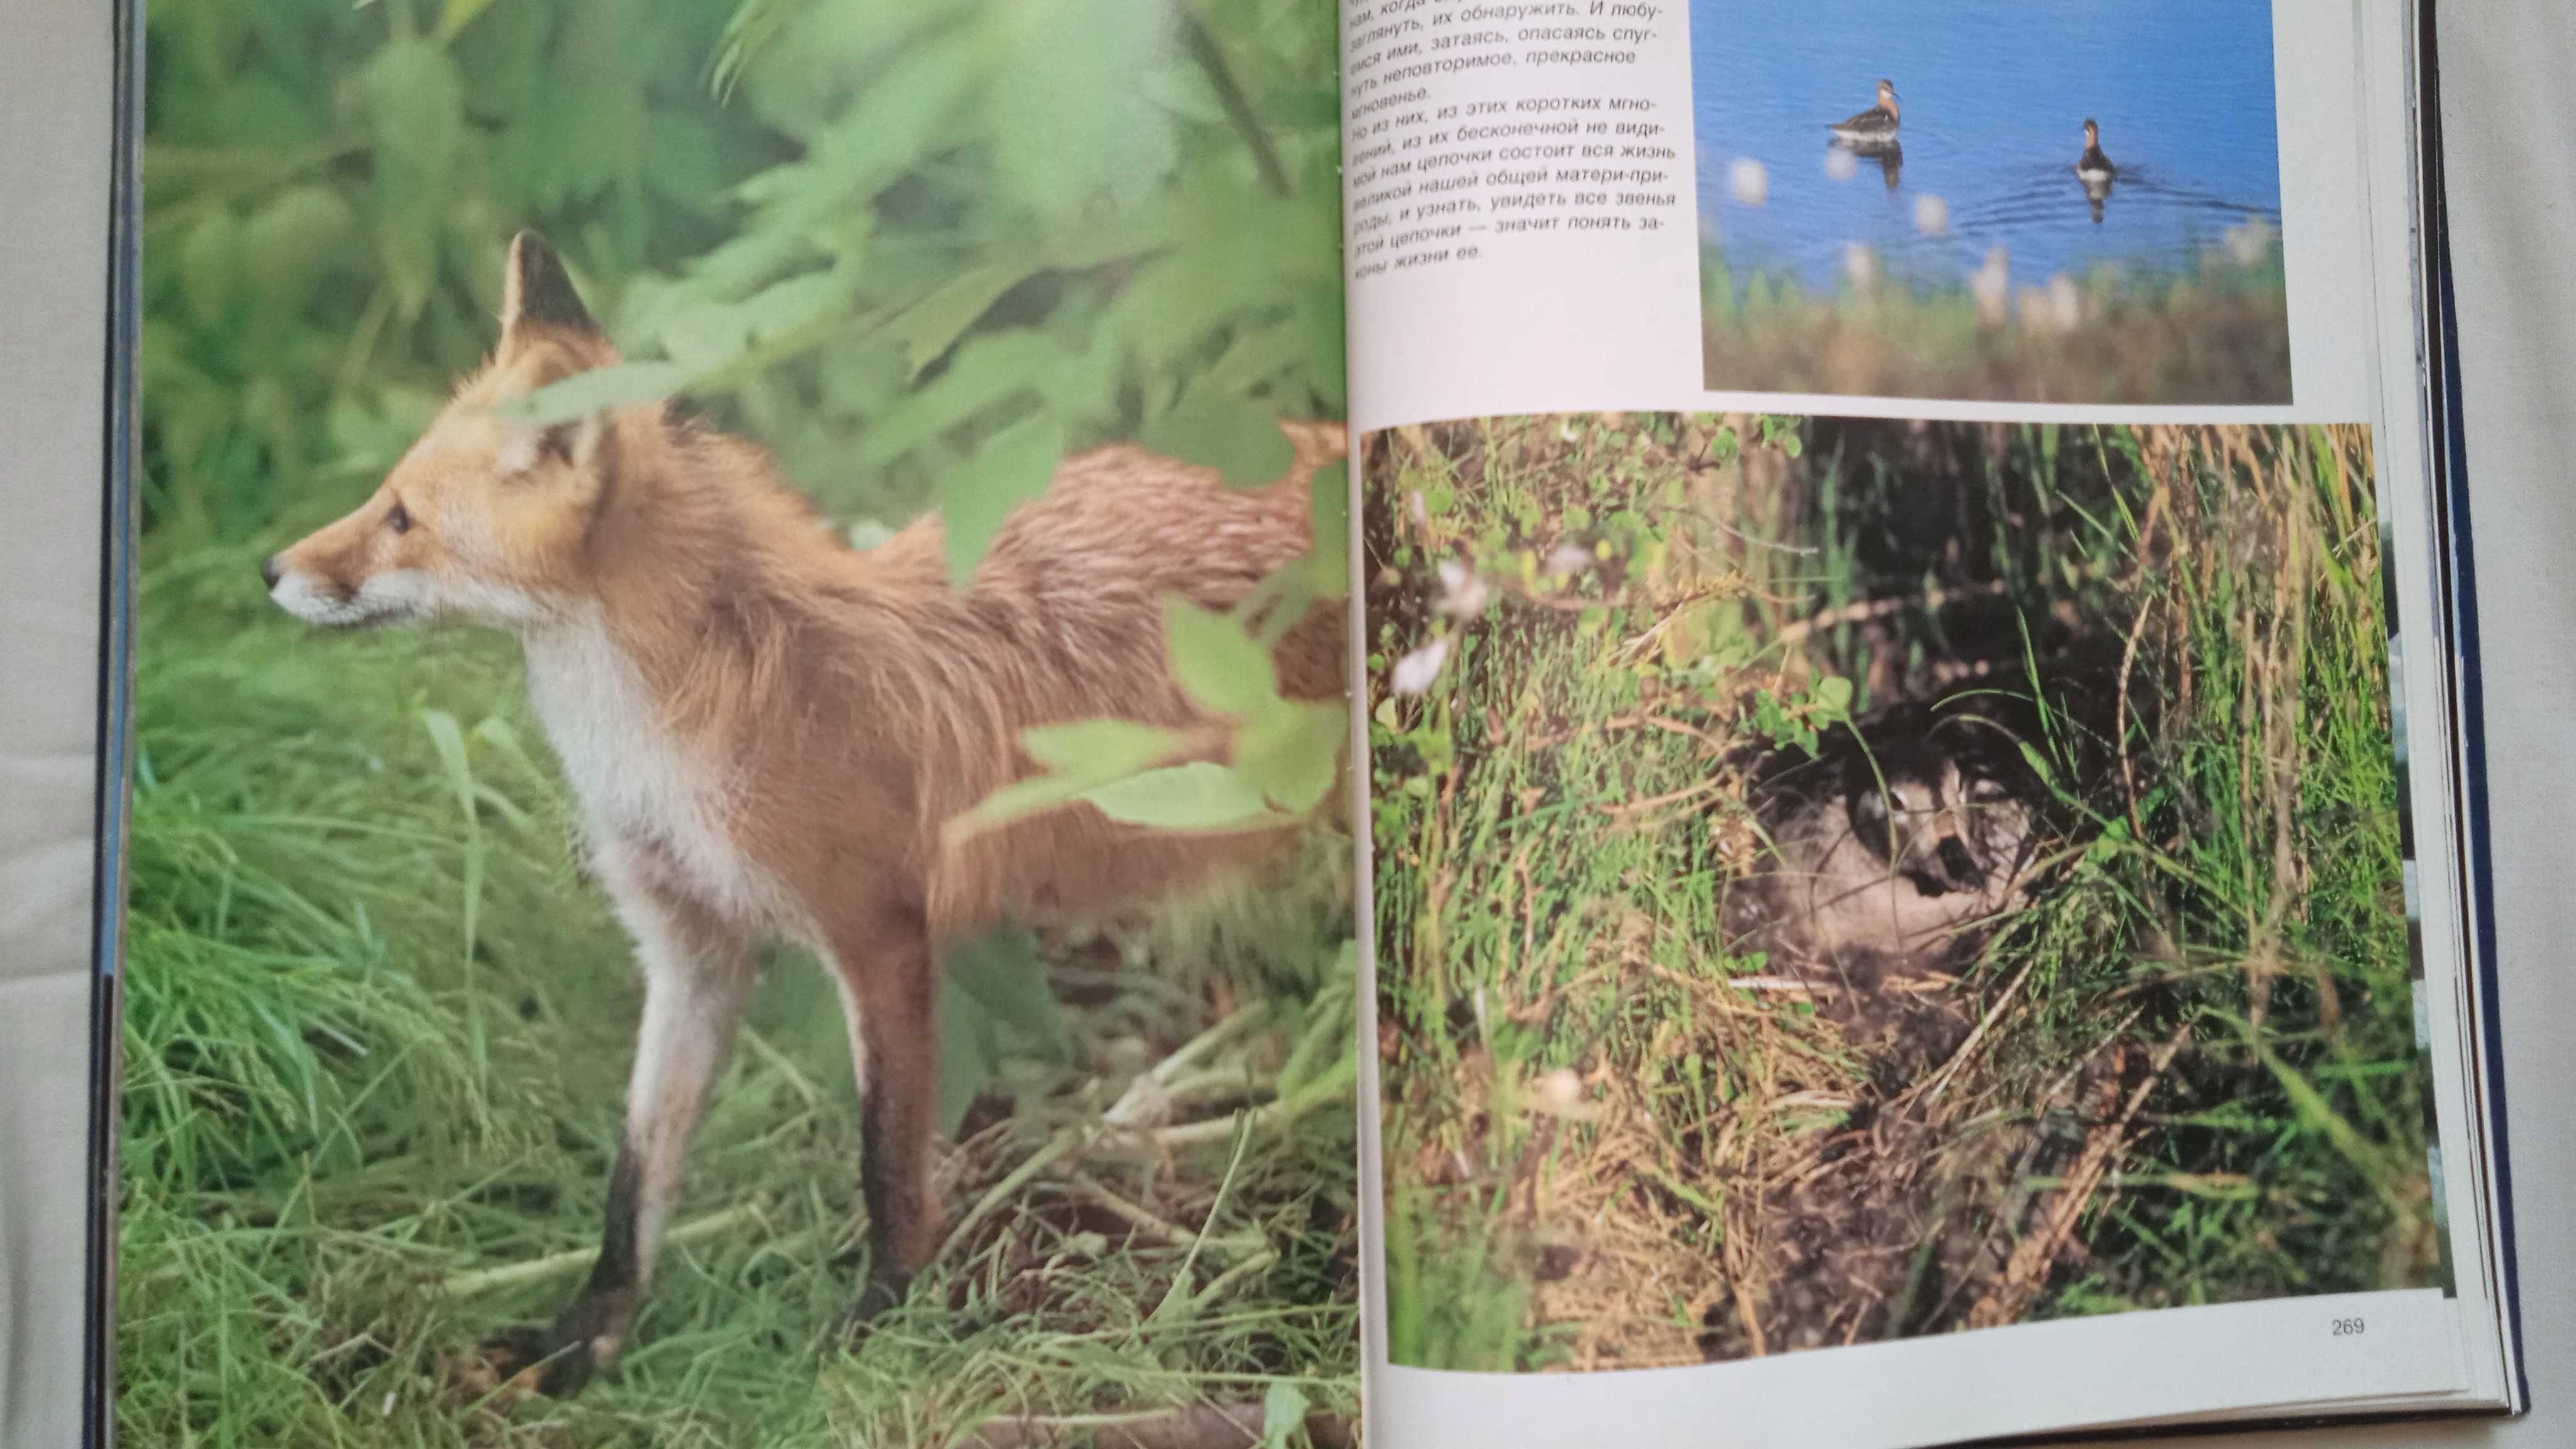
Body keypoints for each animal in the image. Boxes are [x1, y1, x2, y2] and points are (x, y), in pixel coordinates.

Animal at [261, 230, 1350, 1392]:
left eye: (401, 518)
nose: (270, 568)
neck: (670, 735)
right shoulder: (689, 947)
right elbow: (635, 1178)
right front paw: (586, 1335)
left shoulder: (880, 935)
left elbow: (887, 1166)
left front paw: (871, 1332)